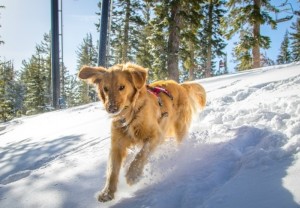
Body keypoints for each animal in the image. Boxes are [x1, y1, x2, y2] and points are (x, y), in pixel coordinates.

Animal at [78, 62, 206, 202]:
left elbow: (141, 154)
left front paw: (133, 175)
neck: (130, 115)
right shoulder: (117, 145)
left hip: (180, 127)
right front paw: (107, 193)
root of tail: (180, 85)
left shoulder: (155, 135)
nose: (112, 108)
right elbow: (112, 170)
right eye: (105, 89)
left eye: (121, 87)